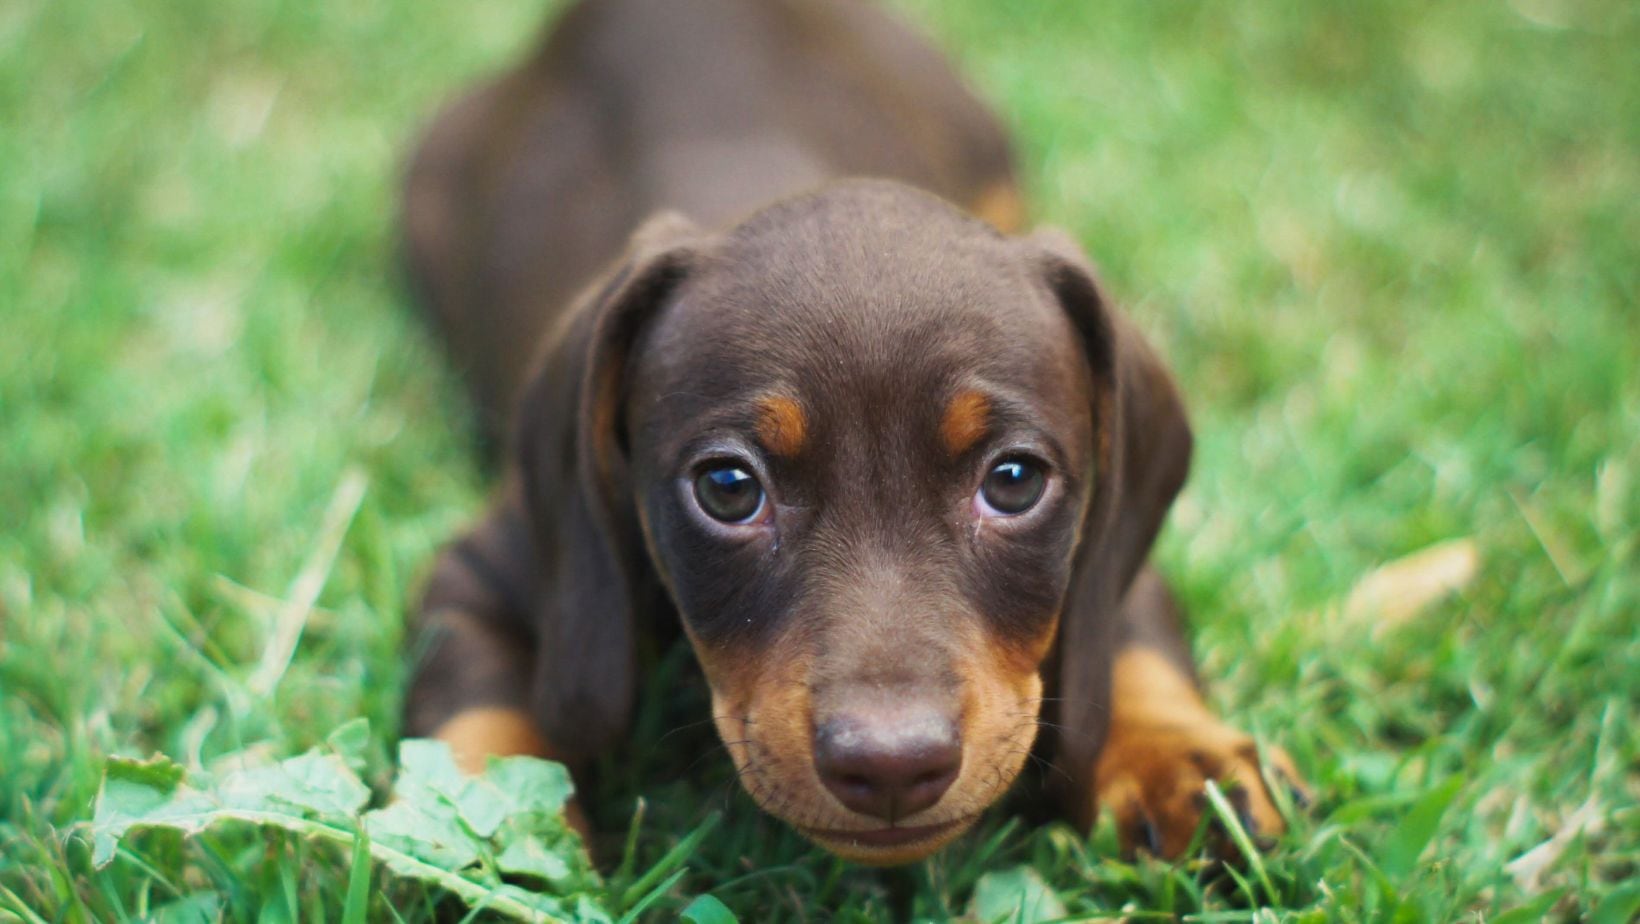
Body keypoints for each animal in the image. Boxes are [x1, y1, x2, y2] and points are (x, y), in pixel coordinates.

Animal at [396, 0, 1292, 866]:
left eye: (1014, 481)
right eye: (728, 489)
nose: (892, 766)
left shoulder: (1104, 543)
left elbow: (1133, 643)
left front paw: (1181, 764)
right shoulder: (480, 574)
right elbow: (477, 728)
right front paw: (477, 839)